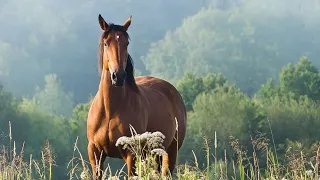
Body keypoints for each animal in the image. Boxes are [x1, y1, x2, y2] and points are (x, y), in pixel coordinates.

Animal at [87, 13, 188, 179]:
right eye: (106, 43)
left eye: (126, 43)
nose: (118, 76)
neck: (110, 110)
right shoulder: (95, 153)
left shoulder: (131, 155)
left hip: (169, 153)